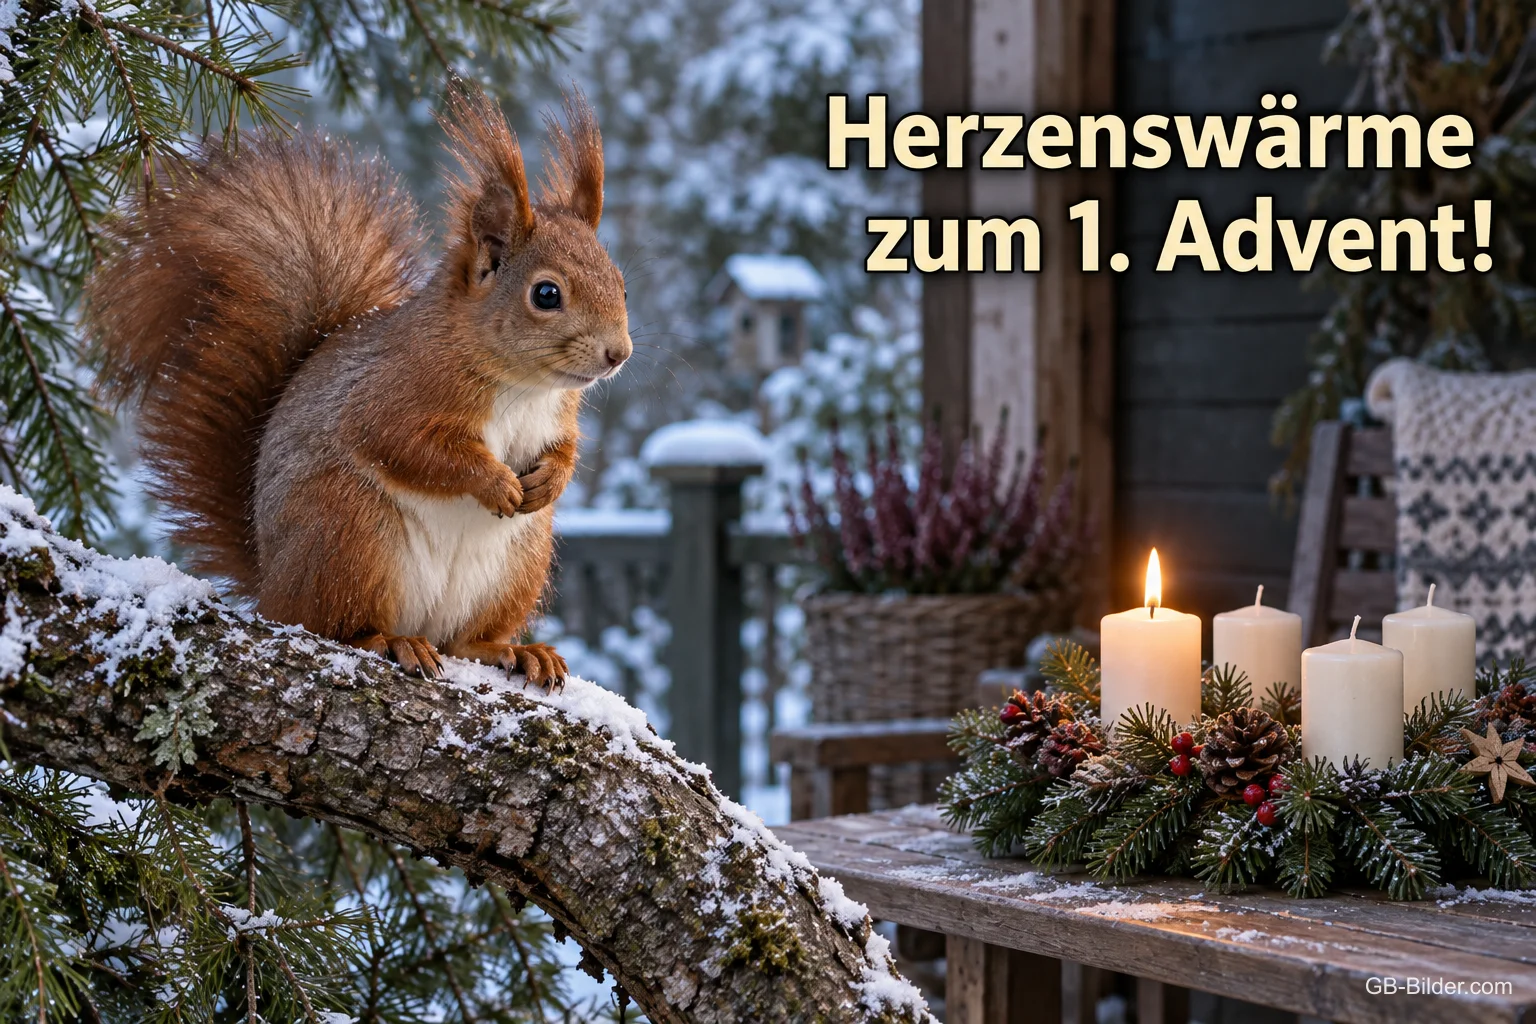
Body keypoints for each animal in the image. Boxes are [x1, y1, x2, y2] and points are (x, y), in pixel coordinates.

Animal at [84, 86, 630, 688]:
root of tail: (272, 585)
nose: (619, 354)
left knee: (464, 641)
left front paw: (549, 481)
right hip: (348, 533)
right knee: (333, 625)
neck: (522, 385)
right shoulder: (393, 390)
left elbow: (565, 450)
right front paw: (494, 483)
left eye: (621, 284)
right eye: (546, 294)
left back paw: (514, 650)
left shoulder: (559, 414)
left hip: (516, 565)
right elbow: (408, 446)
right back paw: (391, 641)